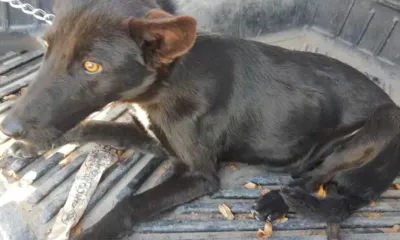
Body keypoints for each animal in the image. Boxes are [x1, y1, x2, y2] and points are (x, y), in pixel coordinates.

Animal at [2, 0, 400, 239]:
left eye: (91, 66)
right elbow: (99, 125)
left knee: (315, 178)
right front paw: (26, 147)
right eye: (47, 47)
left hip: (380, 124)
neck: (167, 83)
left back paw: (276, 201)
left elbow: (131, 203)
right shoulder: (156, 138)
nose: (10, 126)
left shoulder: (199, 174)